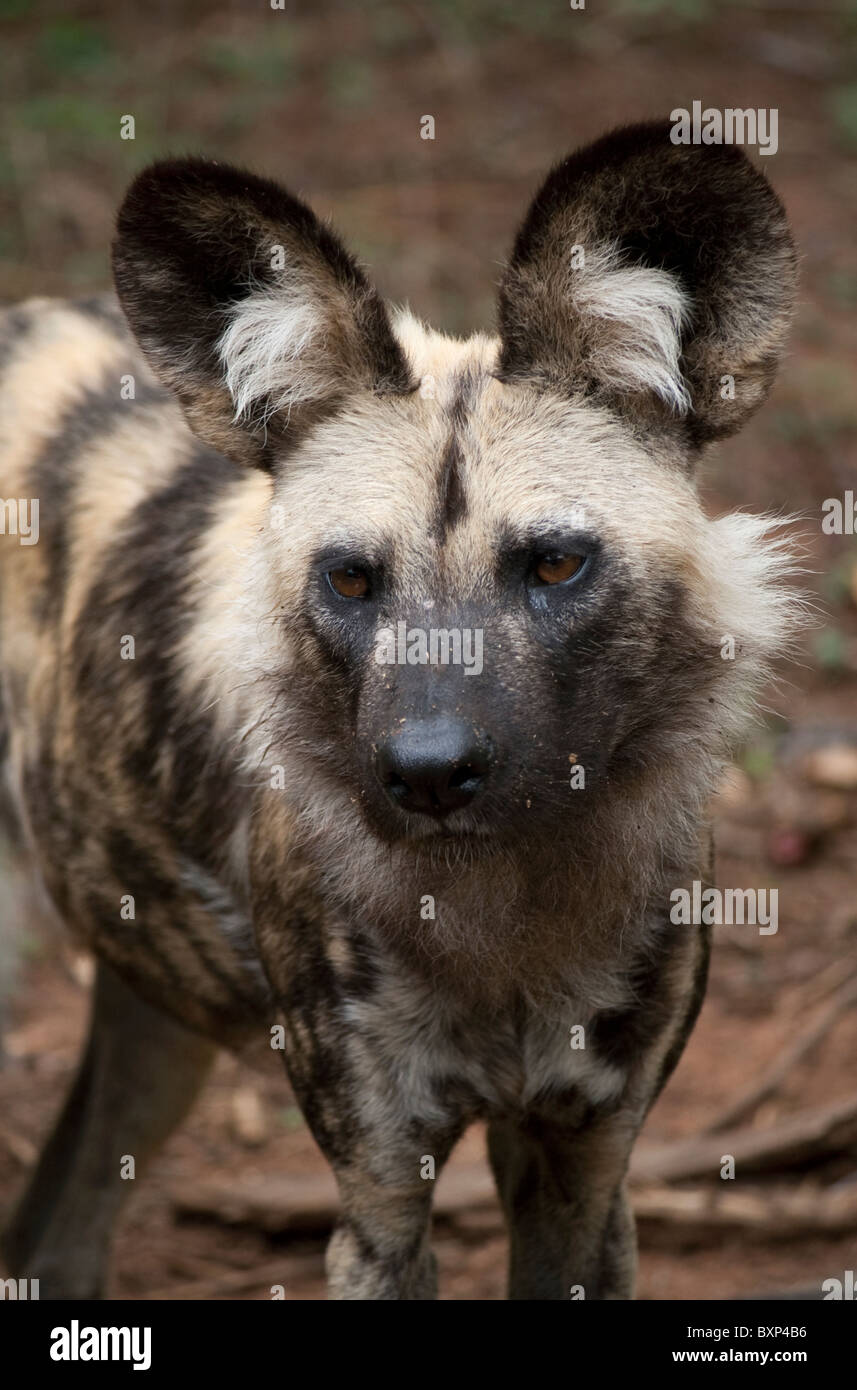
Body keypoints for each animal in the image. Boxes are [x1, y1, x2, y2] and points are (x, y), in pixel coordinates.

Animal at [1, 125, 800, 1295]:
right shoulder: (379, 1192)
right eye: (349, 580)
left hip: (153, 1019)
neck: (503, 919)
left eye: (553, 564)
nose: (426, 773)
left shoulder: (585, 1173)